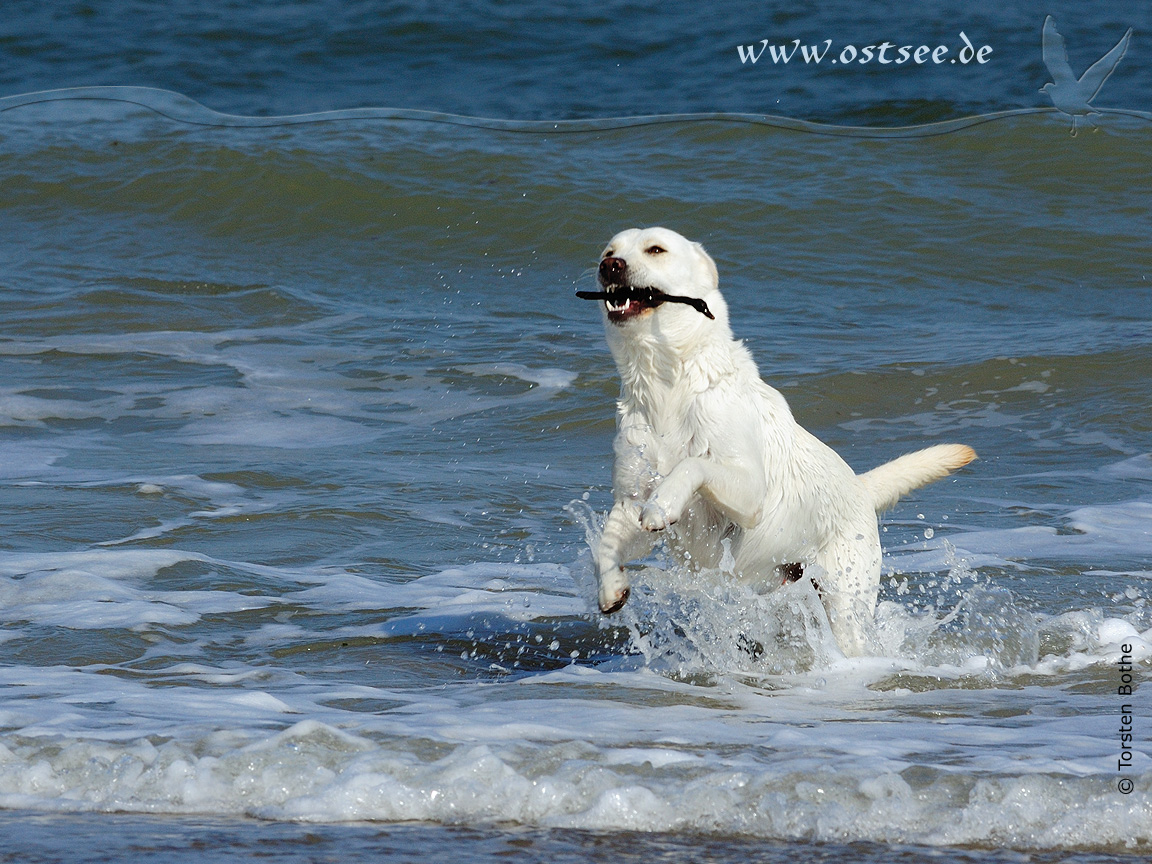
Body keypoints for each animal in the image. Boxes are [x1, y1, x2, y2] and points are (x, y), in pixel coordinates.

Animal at [580, 224, 976, 654]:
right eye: (608, 251)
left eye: (656, 249)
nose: (610, 266)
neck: (666, 385)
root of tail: (860, 487)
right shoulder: (631, 496)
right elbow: (607, 540)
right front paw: (611, 587)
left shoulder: (749, 492)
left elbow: (692, 464)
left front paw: (663, 504)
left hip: (844, 600)